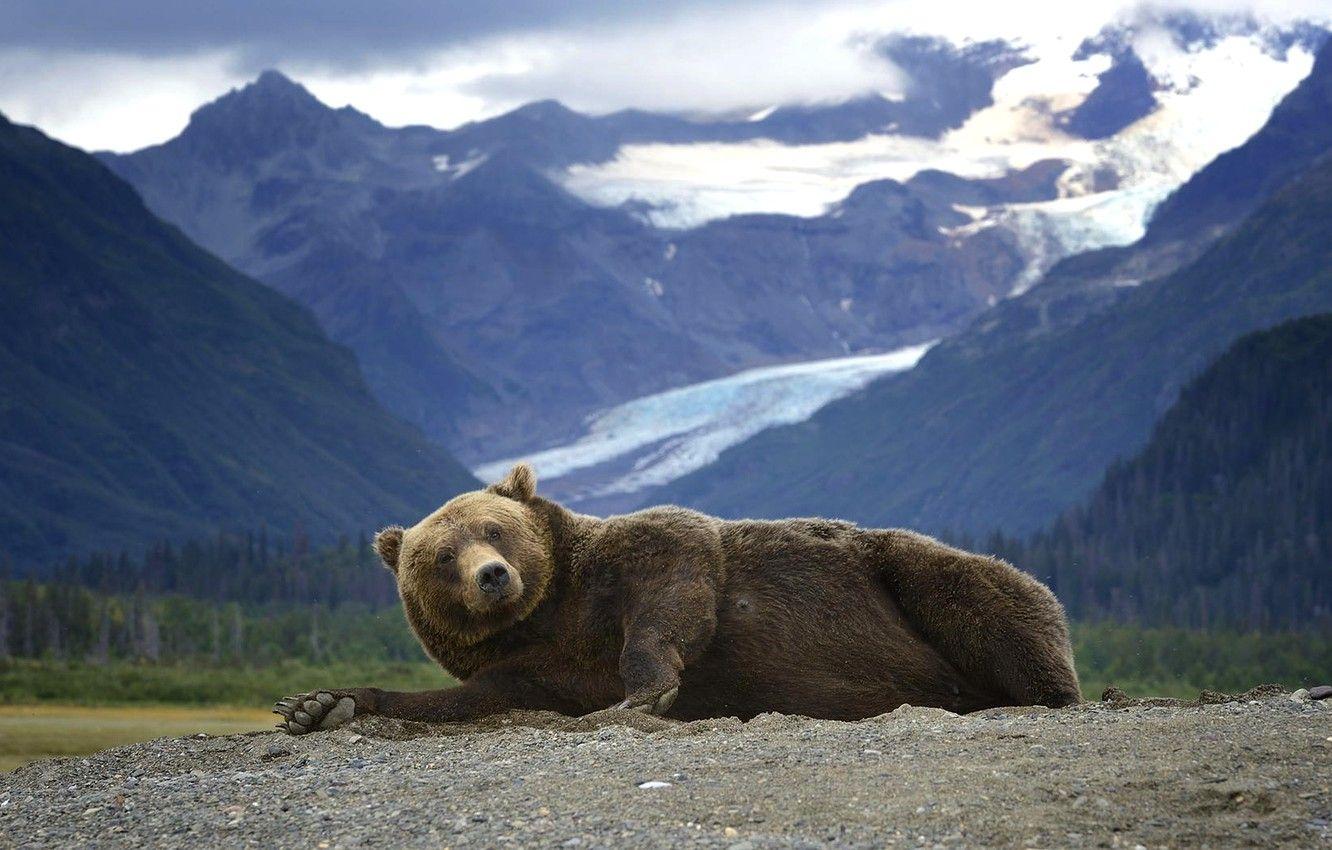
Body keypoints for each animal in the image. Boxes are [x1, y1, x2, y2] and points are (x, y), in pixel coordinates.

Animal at [274, 463, 1081, 734]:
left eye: (493, 526)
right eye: (442, 556)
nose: (493, 575)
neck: (550, 616)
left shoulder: (635, 559)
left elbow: (677, 573)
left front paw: (644, 691)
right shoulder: (529, 668)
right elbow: (460, 701)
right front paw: (320, 705)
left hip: (904, 573)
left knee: (983, 595)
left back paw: (1039, 693)